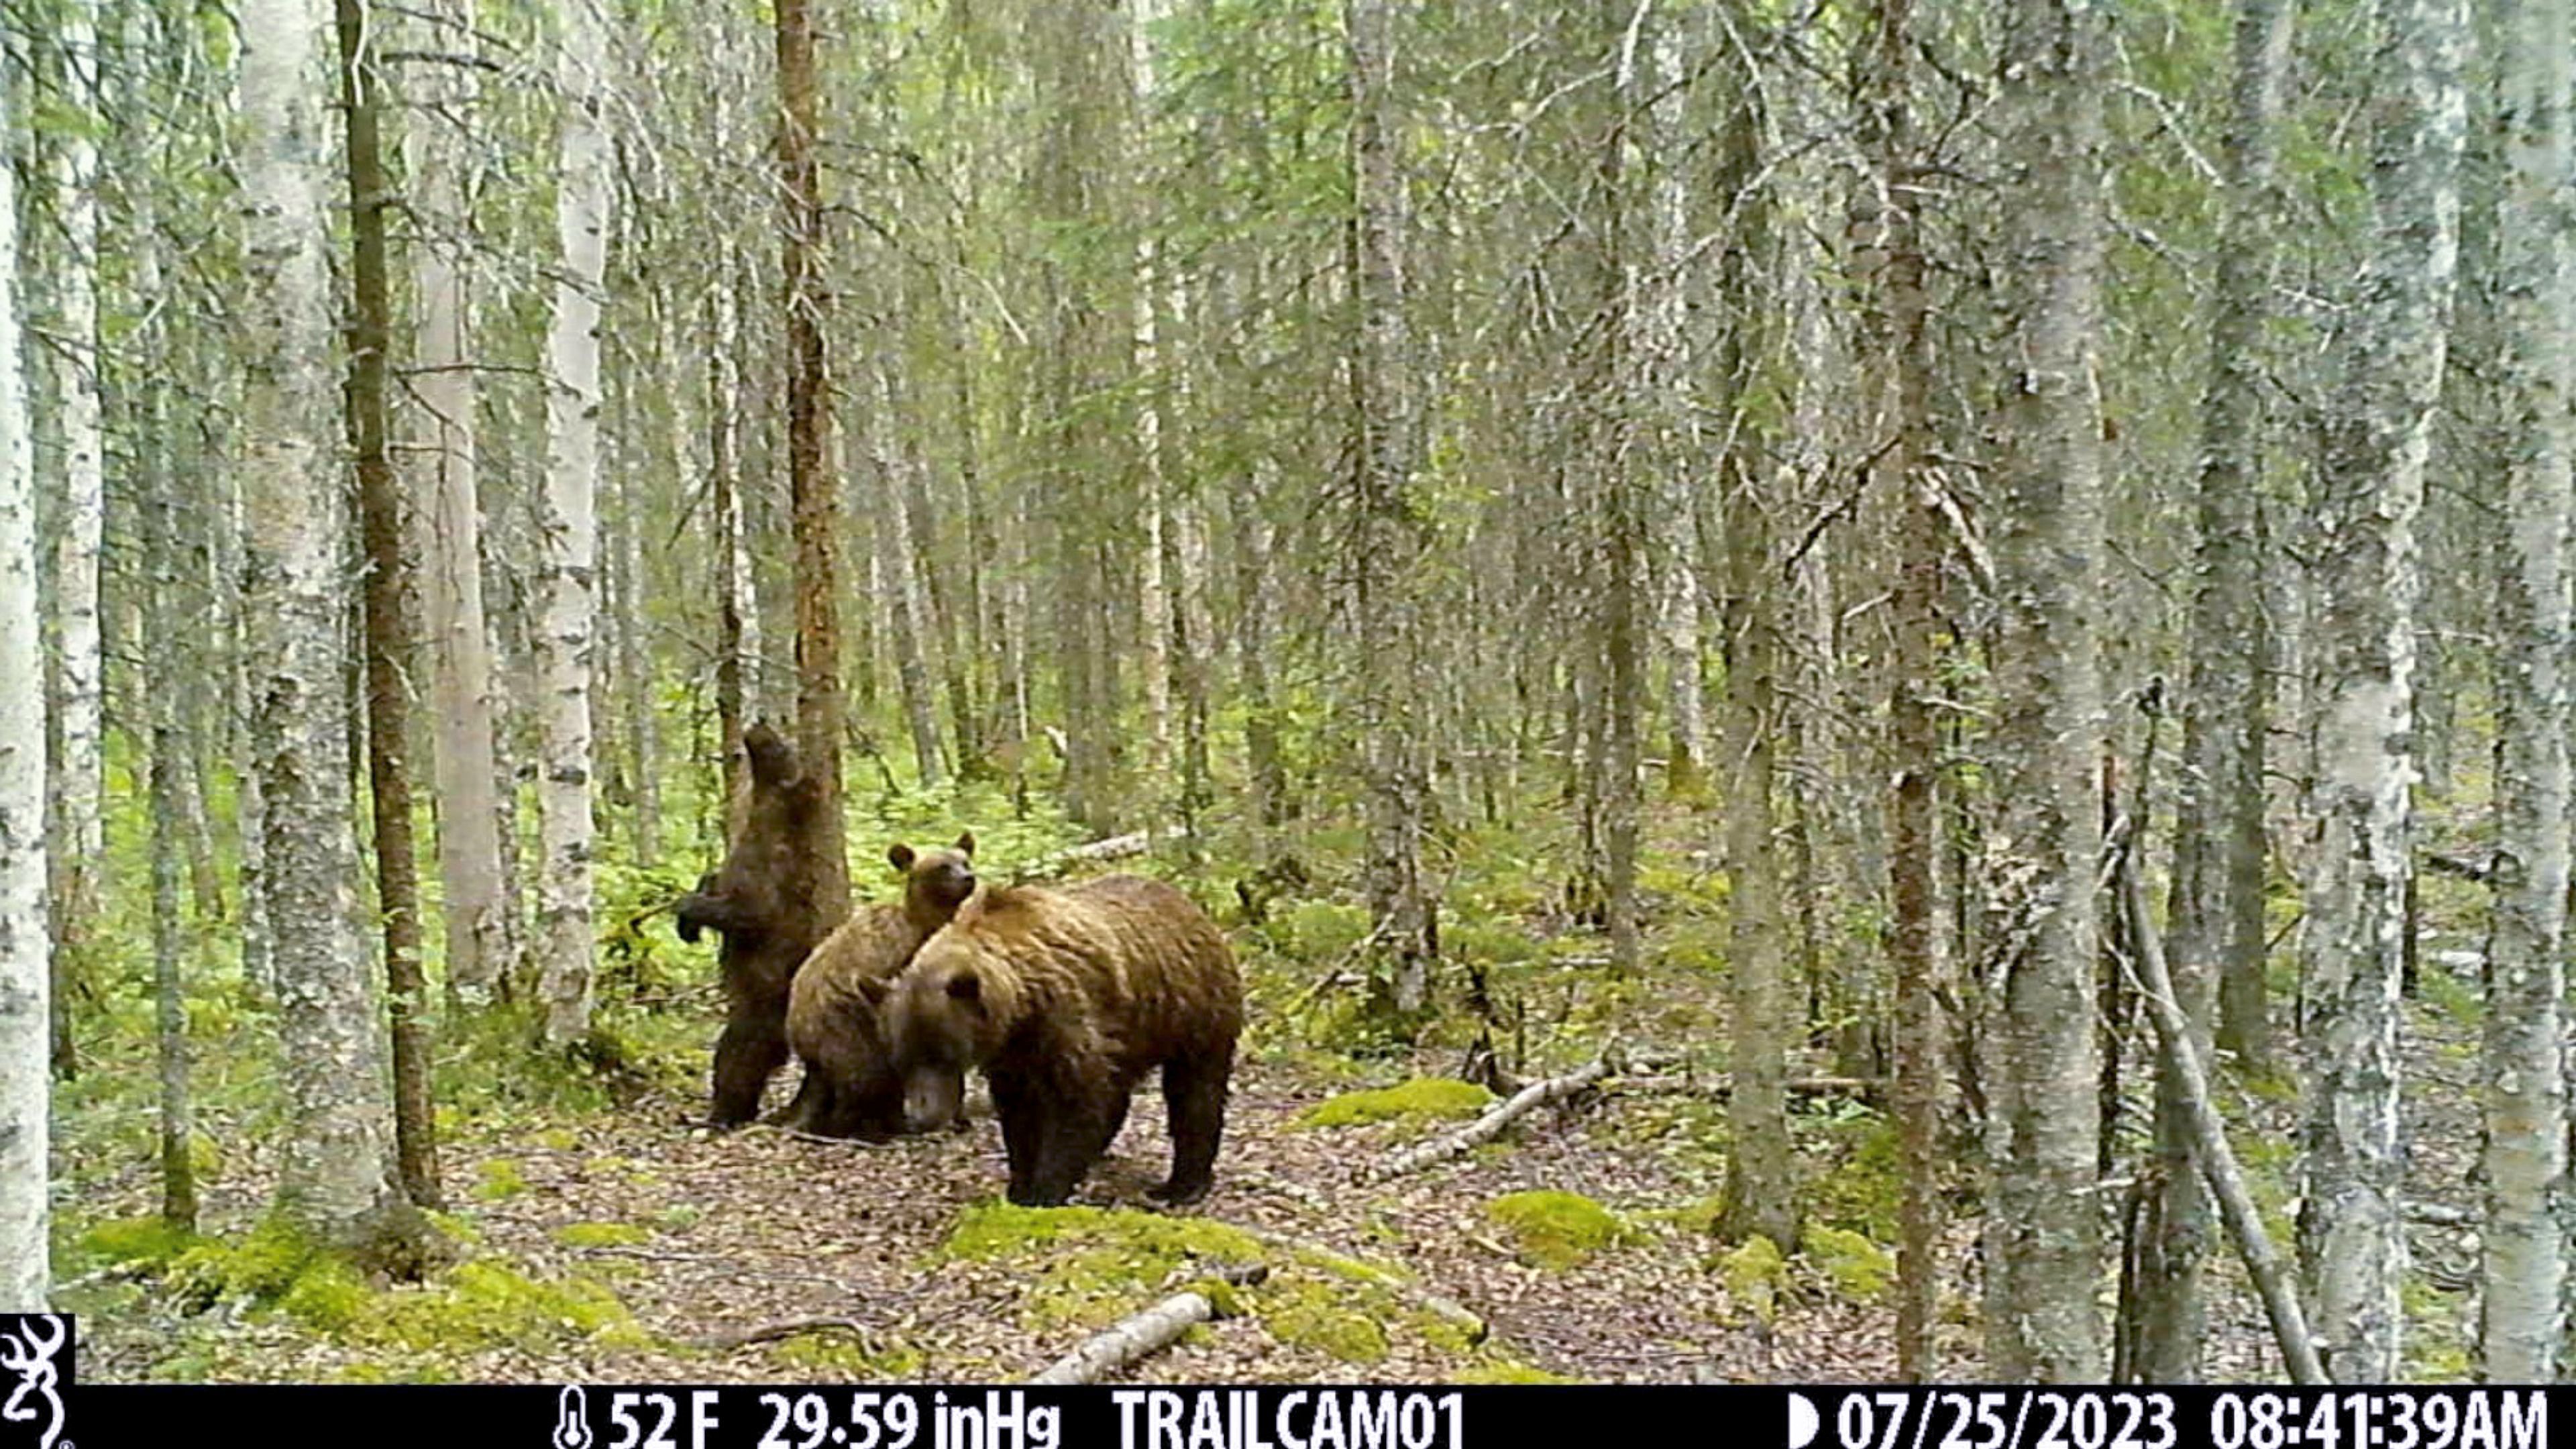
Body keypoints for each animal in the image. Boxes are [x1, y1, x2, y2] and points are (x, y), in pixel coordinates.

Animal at [675, 722, 845, 1129]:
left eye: (784, 747)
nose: (761, 723)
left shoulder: (768, 878)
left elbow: (750, 914)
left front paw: (687, 909)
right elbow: (713, 879)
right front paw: (688, 922)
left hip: (765, 1011)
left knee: (740, 1055)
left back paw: (722, 1114)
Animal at [777, 830, 979, 1134]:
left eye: (964, 860)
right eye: (941, 867)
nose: (968, 878)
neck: (924, 927)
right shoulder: (901, 970)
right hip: (843, 1029)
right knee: (862, 1078)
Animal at [885, 876, 1246, 1201]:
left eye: (943, 1053)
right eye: (904, 1057)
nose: (920, 1116)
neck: (1021, 1004)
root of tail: (1190, 907)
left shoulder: (1063, 1019)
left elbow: (1073, 1104)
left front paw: (1046, 1189)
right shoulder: (1014, 1053)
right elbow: (1020, 1113)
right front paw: (1020, 1185)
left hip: (1191, 1010)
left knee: (1195, 1092)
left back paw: (1182, 1186)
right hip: (1134, 1031)